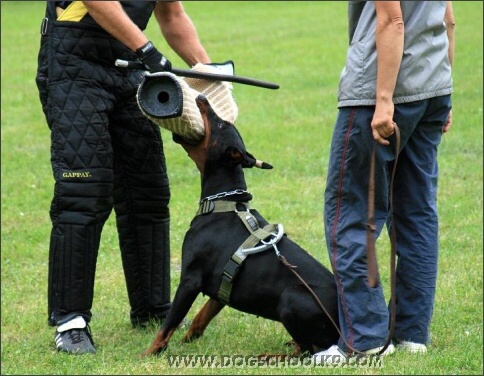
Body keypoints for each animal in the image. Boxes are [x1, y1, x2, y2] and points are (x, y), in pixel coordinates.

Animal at [144, 95, 338, 356]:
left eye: (219, 124)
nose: (201, 97)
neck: (224, 202)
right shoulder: (223, 284)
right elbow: (201, 317)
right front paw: (189, 339)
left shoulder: (190, 279)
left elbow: (168, 323)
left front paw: (149, 353)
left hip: (290, 297)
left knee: (309, 350)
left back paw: (271, 356)